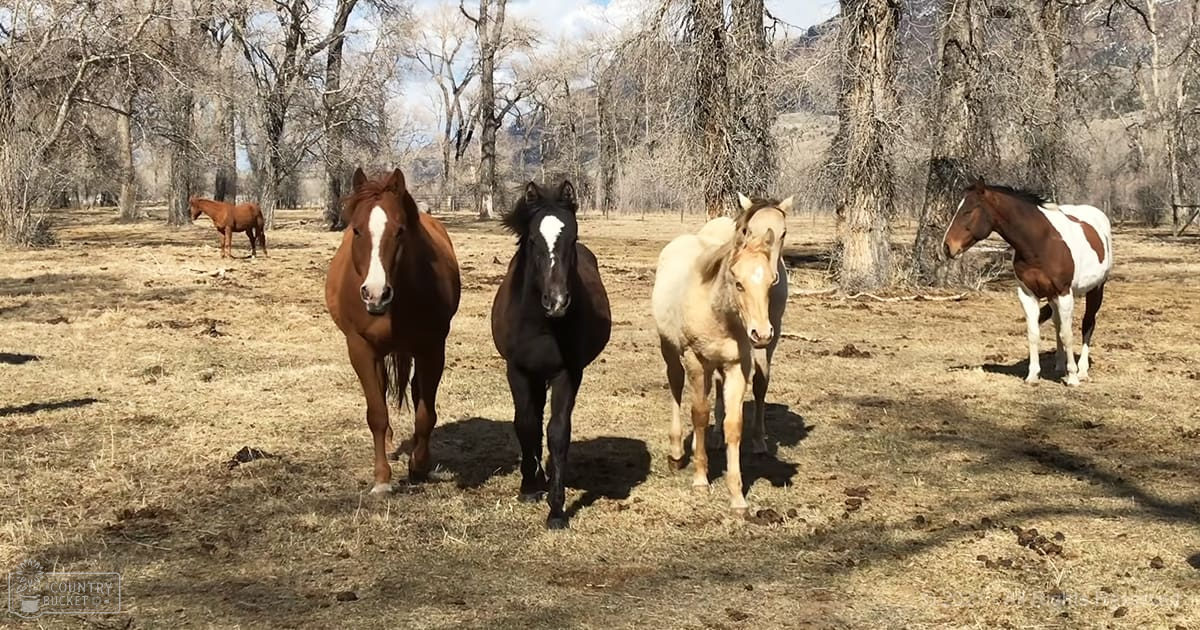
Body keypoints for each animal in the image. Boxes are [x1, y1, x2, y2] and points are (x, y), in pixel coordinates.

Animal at [325, 168, 461, 494]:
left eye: (400, 231)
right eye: (357, 230)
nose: (376, 294)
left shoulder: (432, 348)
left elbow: (426, 413)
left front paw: (419, 467)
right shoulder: (360, 349)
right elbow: (376, 413)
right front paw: (382, 479)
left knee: (416, 392)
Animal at [490, 180, 611, 529]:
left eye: (573, 238)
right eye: (533, 240)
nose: (556, 301)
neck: (542, 325)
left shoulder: (566, 373)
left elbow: (557, 432)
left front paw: (556, 510)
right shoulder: (517, 371)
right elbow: (526, 424)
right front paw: (529, 487)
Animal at [652, 203, 779, 516]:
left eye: (771, 281)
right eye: (738, 283)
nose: (762, 334)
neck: (720, 315)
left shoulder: (737, 367)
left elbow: (733, 425)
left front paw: (737, 497)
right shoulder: (696, 361)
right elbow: (699, 415)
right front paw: (700, 480)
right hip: (671, 350)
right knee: (676, 387)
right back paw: (676, 453)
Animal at [704, 194, 793, 454]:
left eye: (783, 233)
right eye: (748, 230)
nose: (771, 277)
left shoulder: (769, 334)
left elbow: (761, 381)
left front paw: (759, 439)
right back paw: (716, 434)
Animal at [943, 179, 1113, 386]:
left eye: (968, 211)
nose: (947, 246)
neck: (1041, 242)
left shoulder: (1064, 293)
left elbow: (1067, 334)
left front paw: (1072, 378)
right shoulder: (1028, 294)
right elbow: (1034, 333)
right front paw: (1032, 376)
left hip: (1096, 288)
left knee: (1088, 323)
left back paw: (1082, 371)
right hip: (1052, 296)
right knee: (1057, 322)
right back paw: (1060, 365)